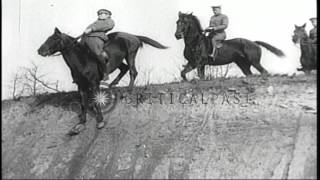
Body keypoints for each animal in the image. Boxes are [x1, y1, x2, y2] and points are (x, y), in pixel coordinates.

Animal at [37, 27, 168, 135]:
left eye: (54, 39)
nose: (40, 51)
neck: (82, 60)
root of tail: (133, 36)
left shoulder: (94, 84)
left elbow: (96, 100)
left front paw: (100, 121)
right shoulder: (81, 87)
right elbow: (83, 104)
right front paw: (81, 124)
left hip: (130, 55)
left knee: (132, 72)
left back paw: (127, 91)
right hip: (119, 60)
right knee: (124, 69)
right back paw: (112, 84)